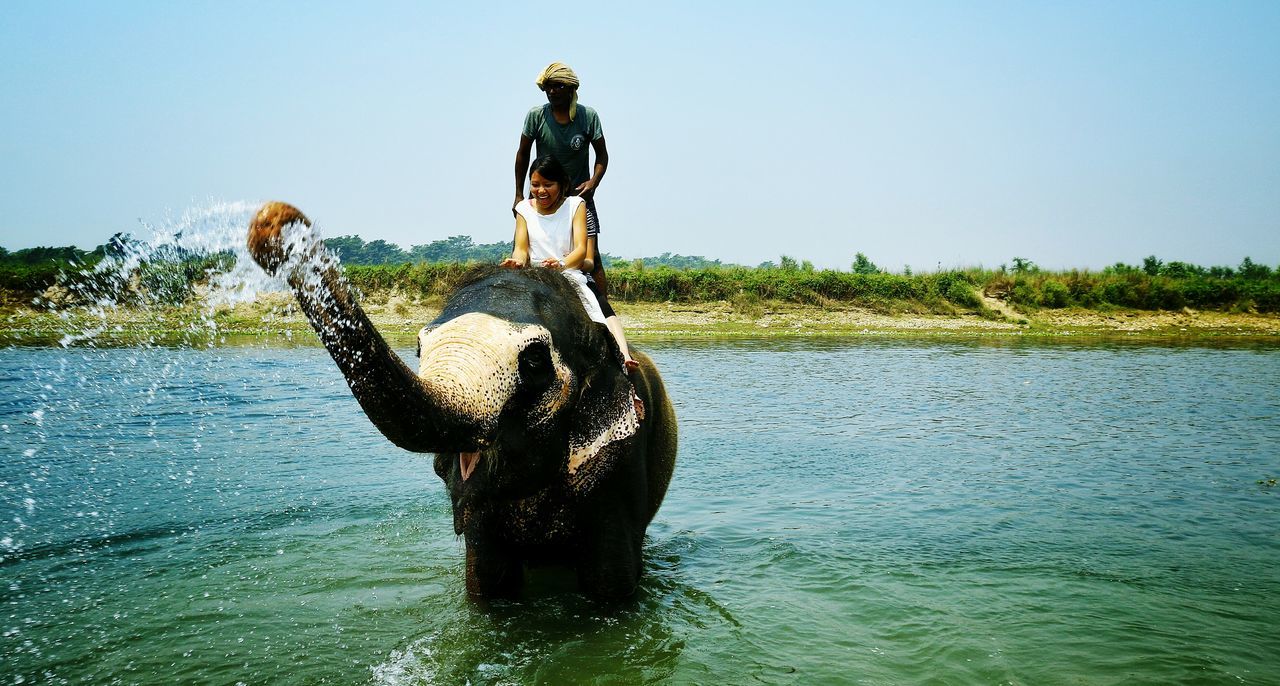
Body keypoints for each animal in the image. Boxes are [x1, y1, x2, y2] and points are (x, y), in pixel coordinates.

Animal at [243, 202, 675, 598]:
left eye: (535, 360)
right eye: (419, 349)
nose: (274, 224)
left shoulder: (621, 463)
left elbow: (611, 587)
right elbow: (487, 585)